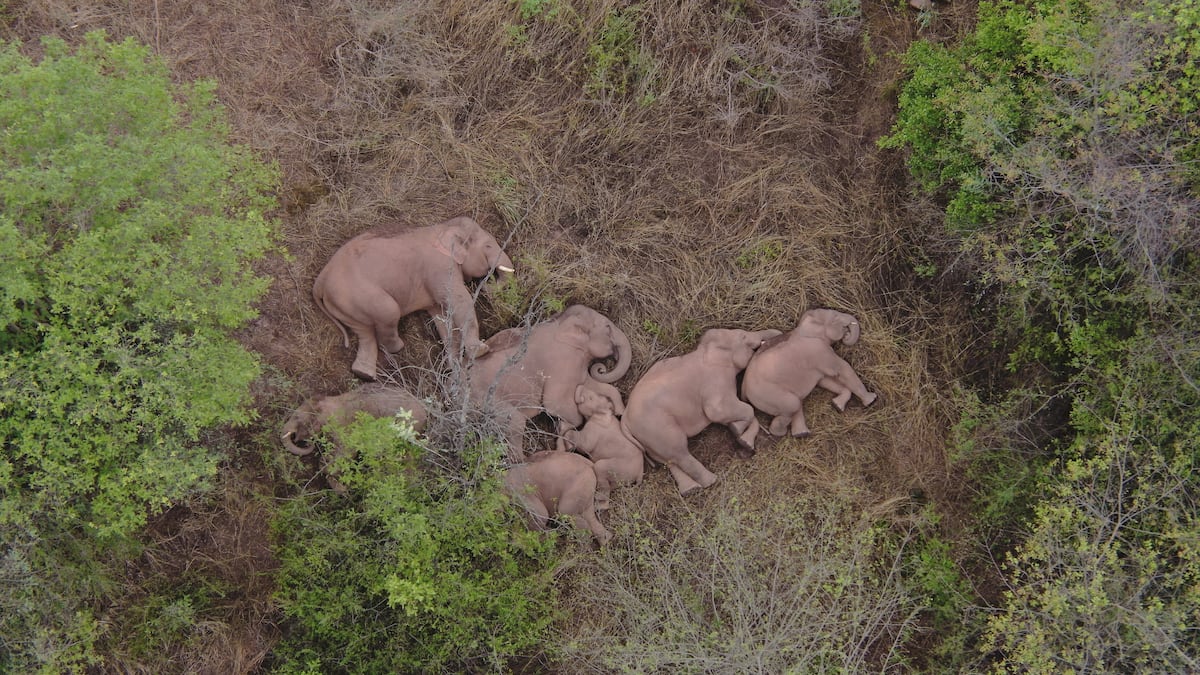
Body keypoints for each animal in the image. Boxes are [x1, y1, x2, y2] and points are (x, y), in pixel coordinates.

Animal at [280, 381, 432, 492]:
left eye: (297, 417)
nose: (305, 442)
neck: (331, 401)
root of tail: (426, 413)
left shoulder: (345, 427)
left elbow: (345, 453)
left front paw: (344, 490)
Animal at [312, 214, 513, 379]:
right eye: (488, 246)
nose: (486, 284)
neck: (442, 227)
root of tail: (320, 280)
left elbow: (441, 315)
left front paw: (453, 368)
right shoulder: (440, 267)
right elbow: (459, 300)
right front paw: (481, 351)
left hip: (346, 304)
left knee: (364, 333)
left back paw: (364, 374)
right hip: (359, 295)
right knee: (388, 312)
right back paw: (396, 348)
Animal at [470, 303, 638, 456]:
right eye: (608, 328)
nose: (602, 368)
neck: (560, 322)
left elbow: (592, 384)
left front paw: (618, 411)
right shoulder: (562, 362)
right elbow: (555, 403)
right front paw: (565, 434)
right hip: (487, 401)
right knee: (516, 423)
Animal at [619, 326, 787, 494]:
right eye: (743, 336)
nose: (779, 335)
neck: (705, 350)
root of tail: (625, 419)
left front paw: (741, 437)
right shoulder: (715, 382)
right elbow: (721, 411)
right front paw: (737, 430)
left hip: (648, 438)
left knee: (668, 459)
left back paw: (690, 489)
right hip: (657, 428)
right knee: (679, 452)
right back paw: (711, 481)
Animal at [734, 306, 878, 437]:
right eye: (835, 316)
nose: (847, 333)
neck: (803, 326)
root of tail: (743, 388)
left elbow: (825, 381)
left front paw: (837, 405)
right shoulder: (820, 350)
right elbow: (843, 369)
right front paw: (871, 400)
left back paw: (801, 433)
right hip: (768, 395)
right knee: (793, 405)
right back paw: (781, 434)